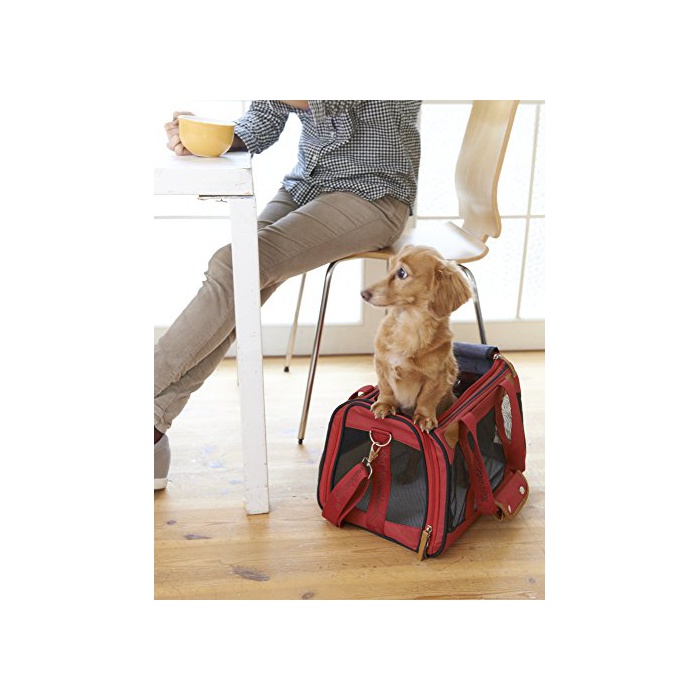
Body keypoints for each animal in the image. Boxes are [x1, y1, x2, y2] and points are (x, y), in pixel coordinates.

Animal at [360, 244, 472, 432]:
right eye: (390, 266)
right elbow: (385, 388)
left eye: (402, 273)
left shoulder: (437, 377)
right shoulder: (381, 364)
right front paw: (384, 405)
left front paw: (424, 417)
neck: (409, 326)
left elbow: (427, 398)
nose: (363, 294)